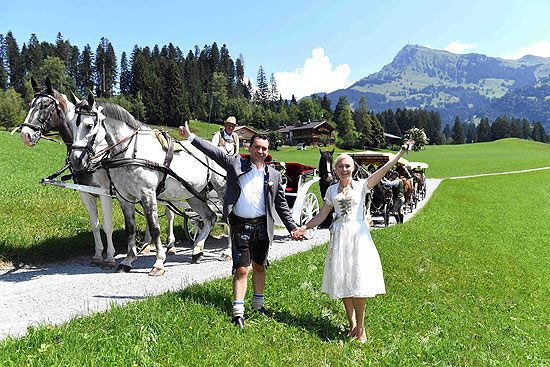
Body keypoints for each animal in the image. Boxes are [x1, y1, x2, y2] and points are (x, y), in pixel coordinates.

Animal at [70, 94, 226, 276]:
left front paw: (159, 262)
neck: (130, 151)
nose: (76, 160)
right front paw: (127, 261)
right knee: (210, 217)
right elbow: (130, 228)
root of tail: (221, 150)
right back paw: (197, 250)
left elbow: (154, 228)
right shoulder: (125, 197)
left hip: (223, 190)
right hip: (193, 194)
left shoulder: (147, 193)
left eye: (89, 125)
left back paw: (228, 252)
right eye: (72, 124)